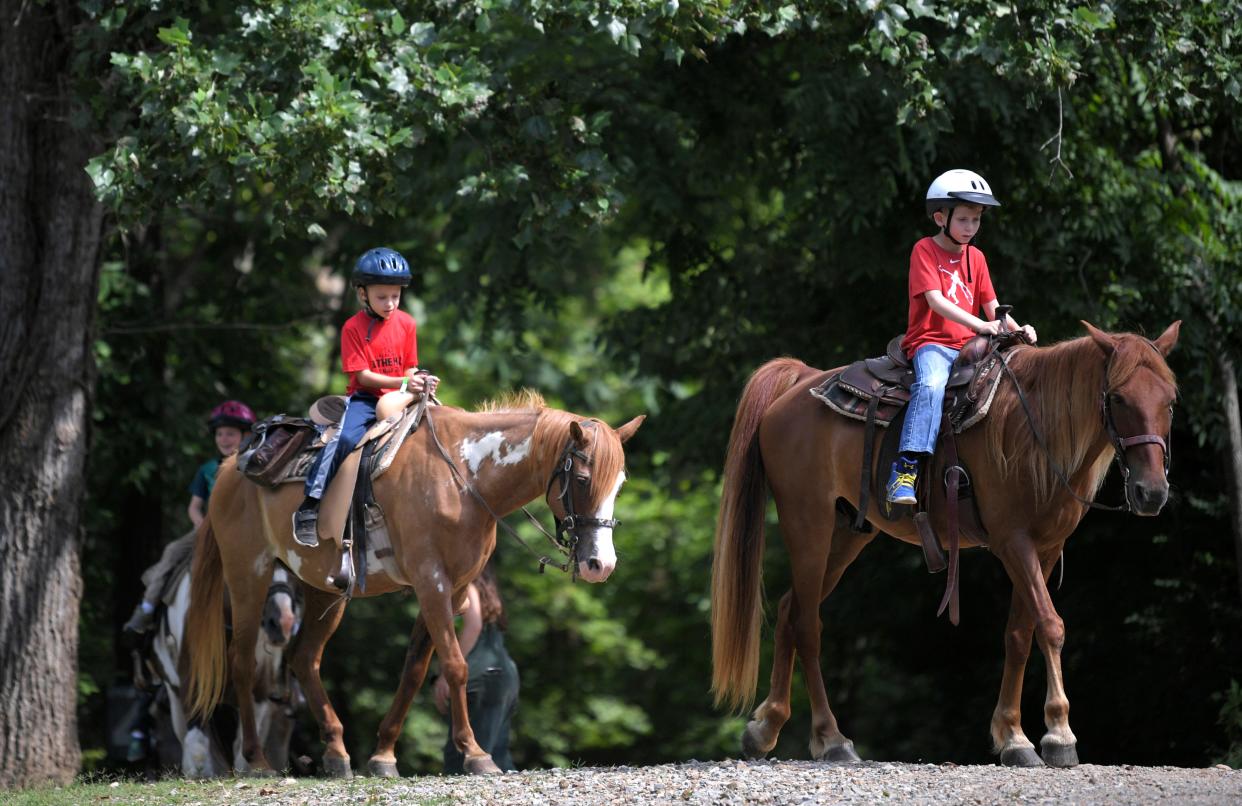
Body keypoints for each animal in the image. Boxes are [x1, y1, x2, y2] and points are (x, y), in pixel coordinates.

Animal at [190, 392, 650, 774]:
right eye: (584, 480)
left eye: (620, 484)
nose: (601, 564)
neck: (464, 477)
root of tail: (231, 467)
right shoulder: (433, 584)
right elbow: (455, 665)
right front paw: (476, 754)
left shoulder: (455, 590)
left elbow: (414, 670)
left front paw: (383, 755)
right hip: (248, 574)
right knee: (242, 662)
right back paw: (257, 760)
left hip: (324, 588)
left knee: (305, 659)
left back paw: (337, 753)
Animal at [715, 322, 1177, 765]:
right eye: (1117, 398)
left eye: (1170, 401)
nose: (1151, 493)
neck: (1032, 430)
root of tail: (801, 380)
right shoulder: (1014, 542)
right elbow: (1050, 625)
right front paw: (1059, 734)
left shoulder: (1044, 549)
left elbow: (1019, 633)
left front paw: (1013, 736)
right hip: (807, 523)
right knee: (808, 624)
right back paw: (831, 739)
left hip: (846, 535)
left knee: (790, 609)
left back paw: (765, 728)